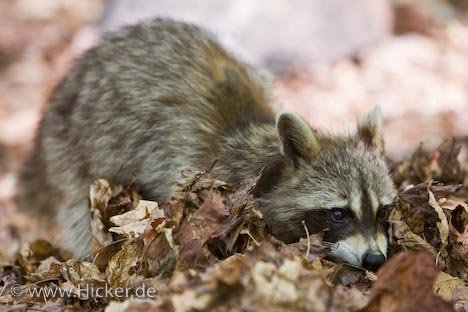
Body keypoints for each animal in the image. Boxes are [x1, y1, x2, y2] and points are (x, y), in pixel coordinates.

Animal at [17, 18, 394, 270]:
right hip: (68, 150)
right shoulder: (182, 164)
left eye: (384, 210)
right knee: (78, 211)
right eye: (338, 213)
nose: (375, 259)